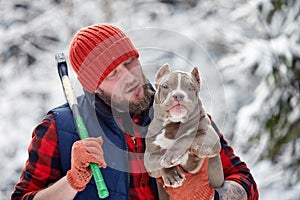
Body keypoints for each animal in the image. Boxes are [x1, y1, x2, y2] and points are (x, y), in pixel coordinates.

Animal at [144, 64, 224, 195]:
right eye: (165, 86)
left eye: (191, 88)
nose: (178, 95)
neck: (173, 125)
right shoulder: (148, 158)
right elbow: (157, 161)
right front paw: (172, 174)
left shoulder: (210, 138)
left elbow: (186, 137)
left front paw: (171, 155)